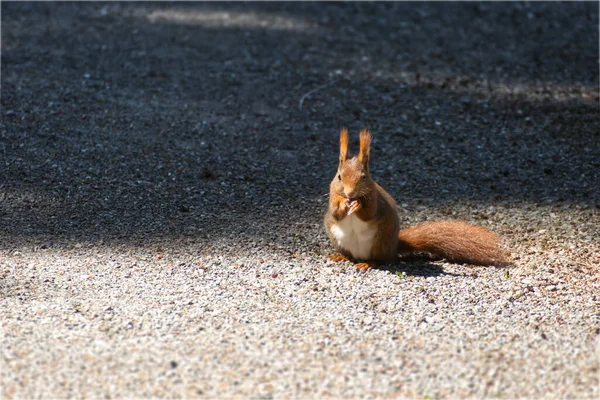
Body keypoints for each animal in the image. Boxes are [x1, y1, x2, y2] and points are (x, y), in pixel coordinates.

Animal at [326, 127, 508, 272]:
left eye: (364, 177)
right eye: (339, 176)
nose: (350, 194)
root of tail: (394, 246)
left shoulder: (375, 200)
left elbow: (369, 213)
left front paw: (357, 205)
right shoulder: (333, 195)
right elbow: (335, 213)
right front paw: (344, 204)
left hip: (380, 242)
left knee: (380, 260)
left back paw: (368, 263)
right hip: (338, 239)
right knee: (351, 256)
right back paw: (341, 257)